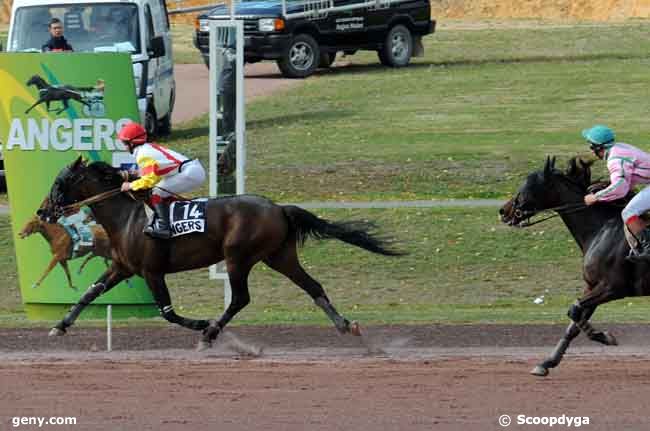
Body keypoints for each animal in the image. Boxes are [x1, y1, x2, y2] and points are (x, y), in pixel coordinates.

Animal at [39, 157, 400, 350]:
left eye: (59, 183)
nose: (43, 212)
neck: (127, 218)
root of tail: (279, 208)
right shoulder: (123, 267)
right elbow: (89, 293)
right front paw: (60, 325)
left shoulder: (152, 271)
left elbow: (168, 312)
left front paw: (201, 324)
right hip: (279, 256)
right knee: (313, 286)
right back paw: (346, 325)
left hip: (238, 256)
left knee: (240, 298)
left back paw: (211, 332)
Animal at [498, 158, 644, 378]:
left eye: (527, 187)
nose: (503, 211)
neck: (602, 230)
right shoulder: (593, 286)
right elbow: (574, 321)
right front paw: (546, 362)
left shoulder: (613, 287)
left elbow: (574, 311)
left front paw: (604, 335)